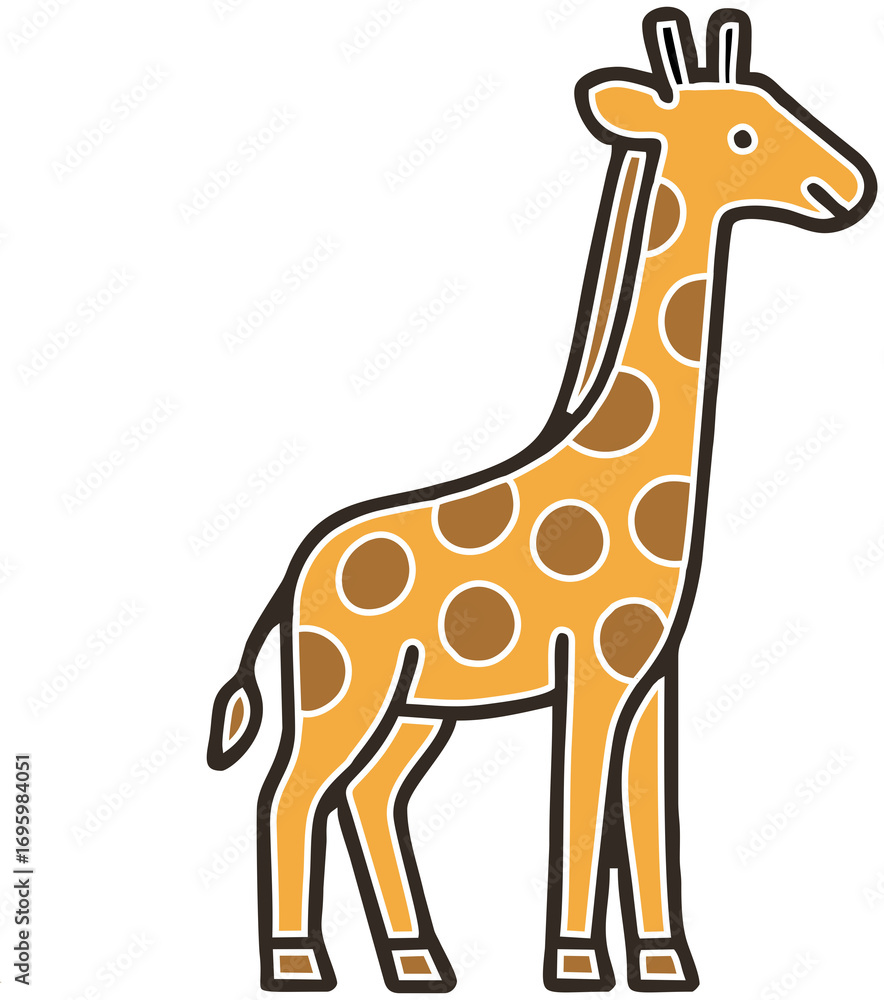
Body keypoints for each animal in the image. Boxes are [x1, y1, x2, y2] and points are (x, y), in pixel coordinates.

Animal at [208, 8, 875, 993]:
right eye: (745, 133)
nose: (852, 186)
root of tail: (294, 581)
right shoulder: (589, 669)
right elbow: (580, 806)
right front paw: (576, 963)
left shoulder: (653, 680)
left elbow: (649, 816)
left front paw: (665, 963)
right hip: (347, 686)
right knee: (292, 792)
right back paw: (299, 963)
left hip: (419, 706)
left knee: (370, 794)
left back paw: (419, 961)